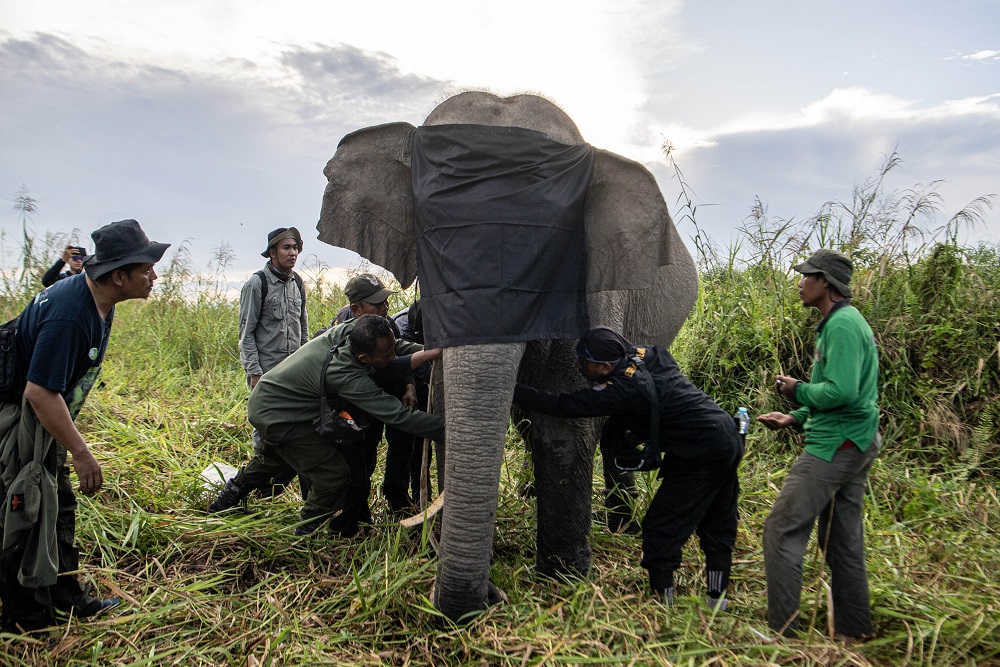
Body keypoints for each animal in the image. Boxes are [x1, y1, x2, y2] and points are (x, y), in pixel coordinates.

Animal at [316, 91, 700, 624]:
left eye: (553, 249)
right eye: (432, 244)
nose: (492, 598)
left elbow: (566, 420)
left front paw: (564, 580)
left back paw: (618, 525)